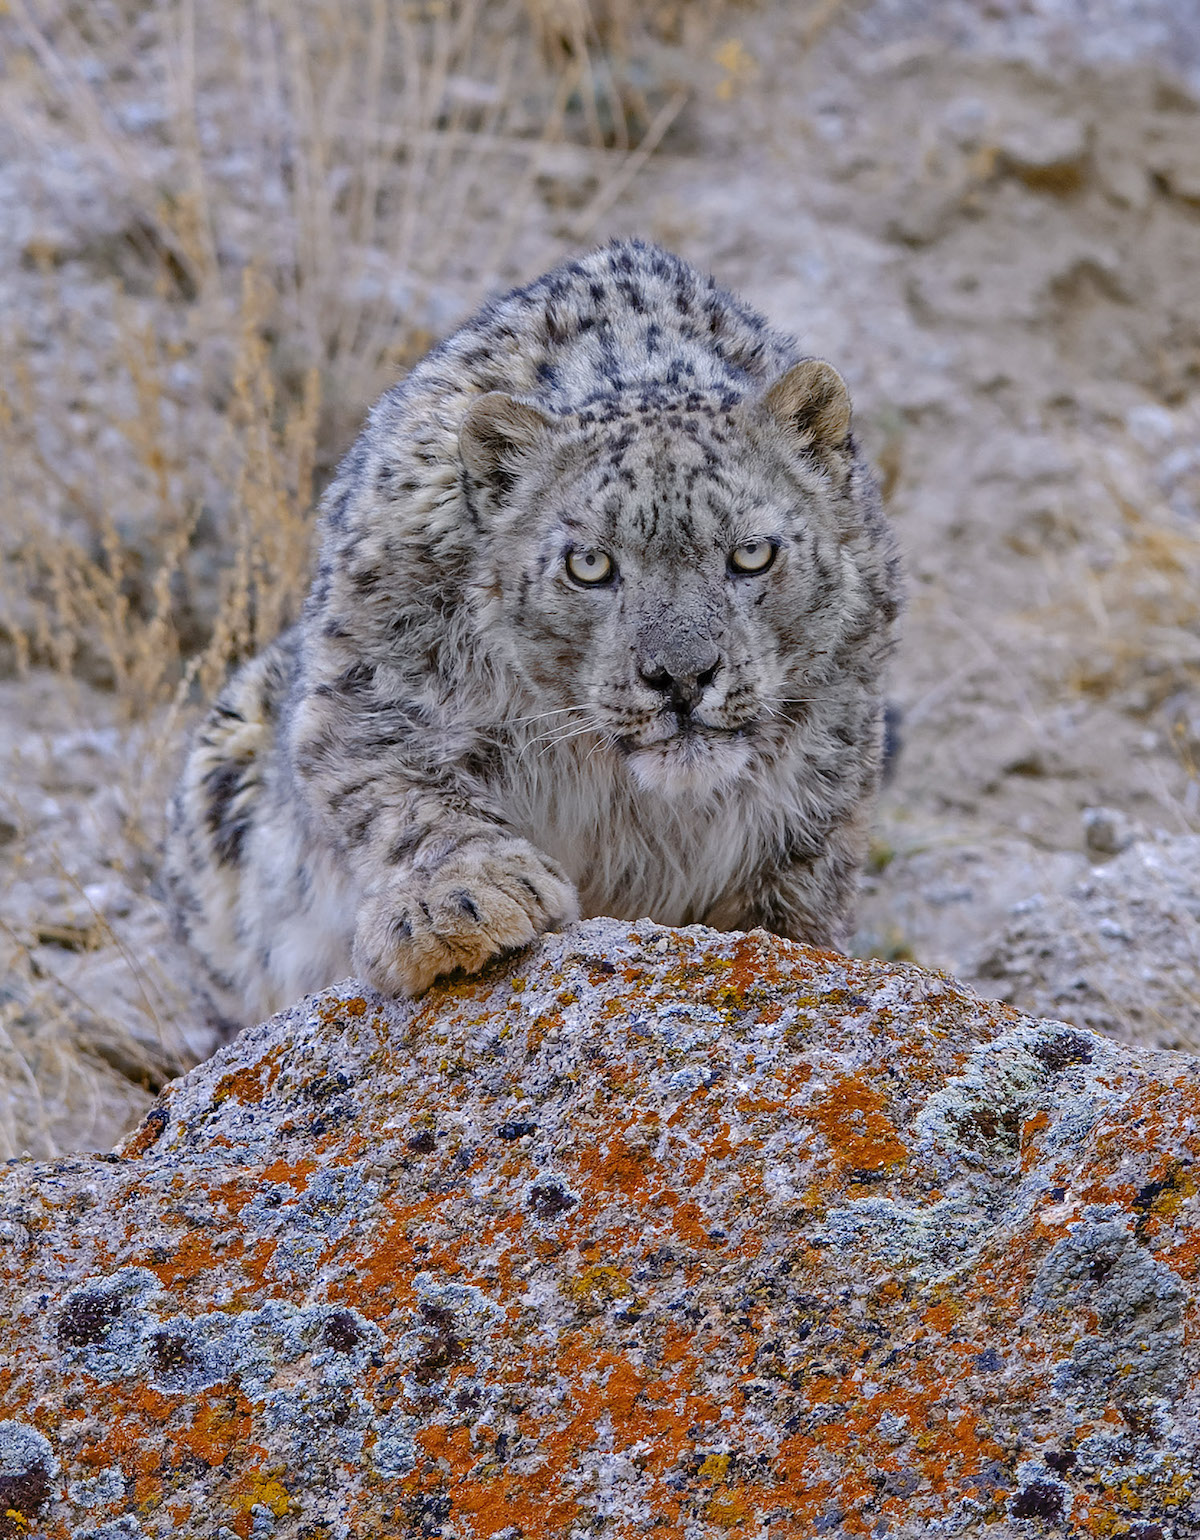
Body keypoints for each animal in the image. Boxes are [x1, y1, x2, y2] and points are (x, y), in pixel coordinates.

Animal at [166, 240, 899, 1022]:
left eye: (753, 553)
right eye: (590, 564)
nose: (682, 677)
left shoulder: (824, 775)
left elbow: (798, 890)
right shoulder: (370, 684)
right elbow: (400, 792)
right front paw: (456, 904)